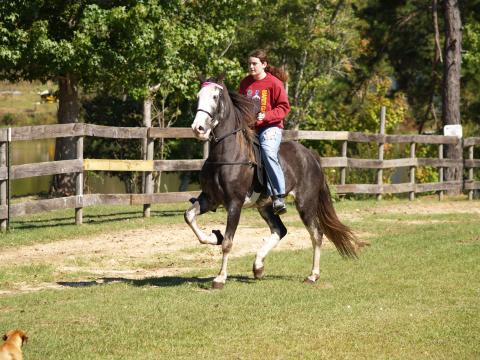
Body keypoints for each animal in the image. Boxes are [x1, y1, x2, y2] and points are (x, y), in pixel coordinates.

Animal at [186, 76, 362, 290]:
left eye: (215, 96)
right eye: (198, 96)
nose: (198, 128)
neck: (226, 155)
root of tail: (310, 155)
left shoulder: (234, 204)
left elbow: (228, 242)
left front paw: (220, 278)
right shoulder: (209, 199)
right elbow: (189, 217)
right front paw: (214, 237)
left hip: (306, 204)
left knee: (316, 234)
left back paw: (312, 275)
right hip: (266, 206)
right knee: (280, 230)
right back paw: (258, 267)